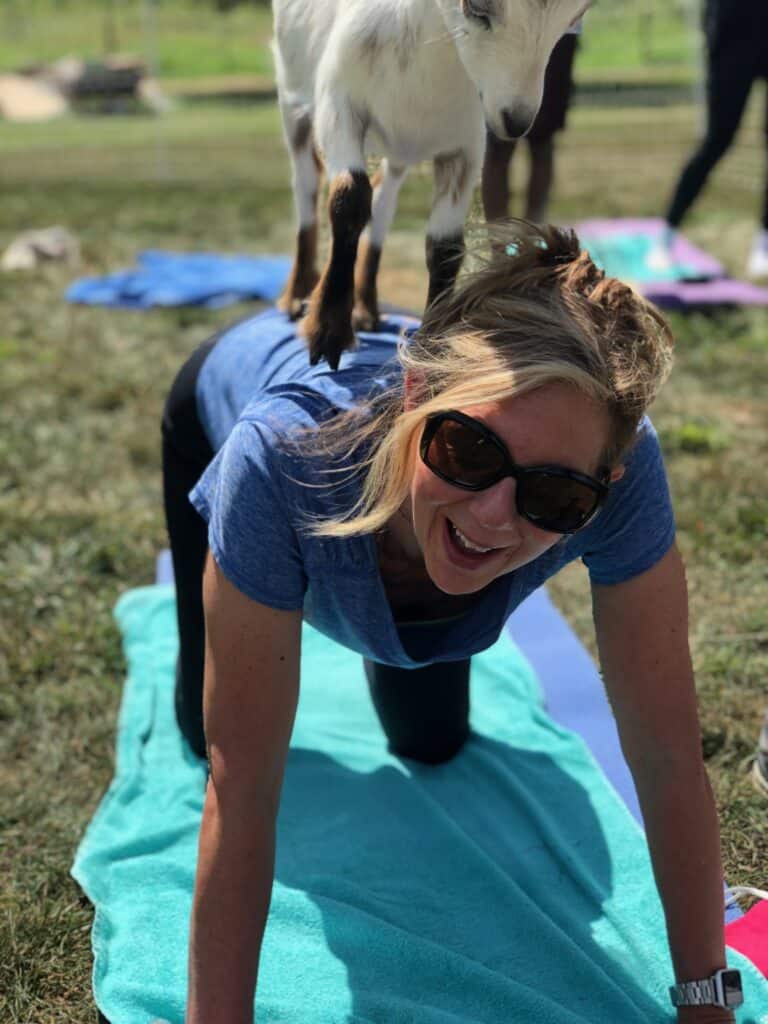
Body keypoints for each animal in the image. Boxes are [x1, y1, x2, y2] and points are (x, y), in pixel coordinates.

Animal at [272, 0, 589, 368]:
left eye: (575, 17)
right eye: (477, 8)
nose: (516, 121)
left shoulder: (466, 145)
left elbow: (445, 246)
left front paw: (433, 349)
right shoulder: (338, 106)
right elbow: (349, 198)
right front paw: (327, 332)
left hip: (399, 153)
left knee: (382, 202)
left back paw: (366, 309)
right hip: (292, 100)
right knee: (306, 185)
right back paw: (297, 297)